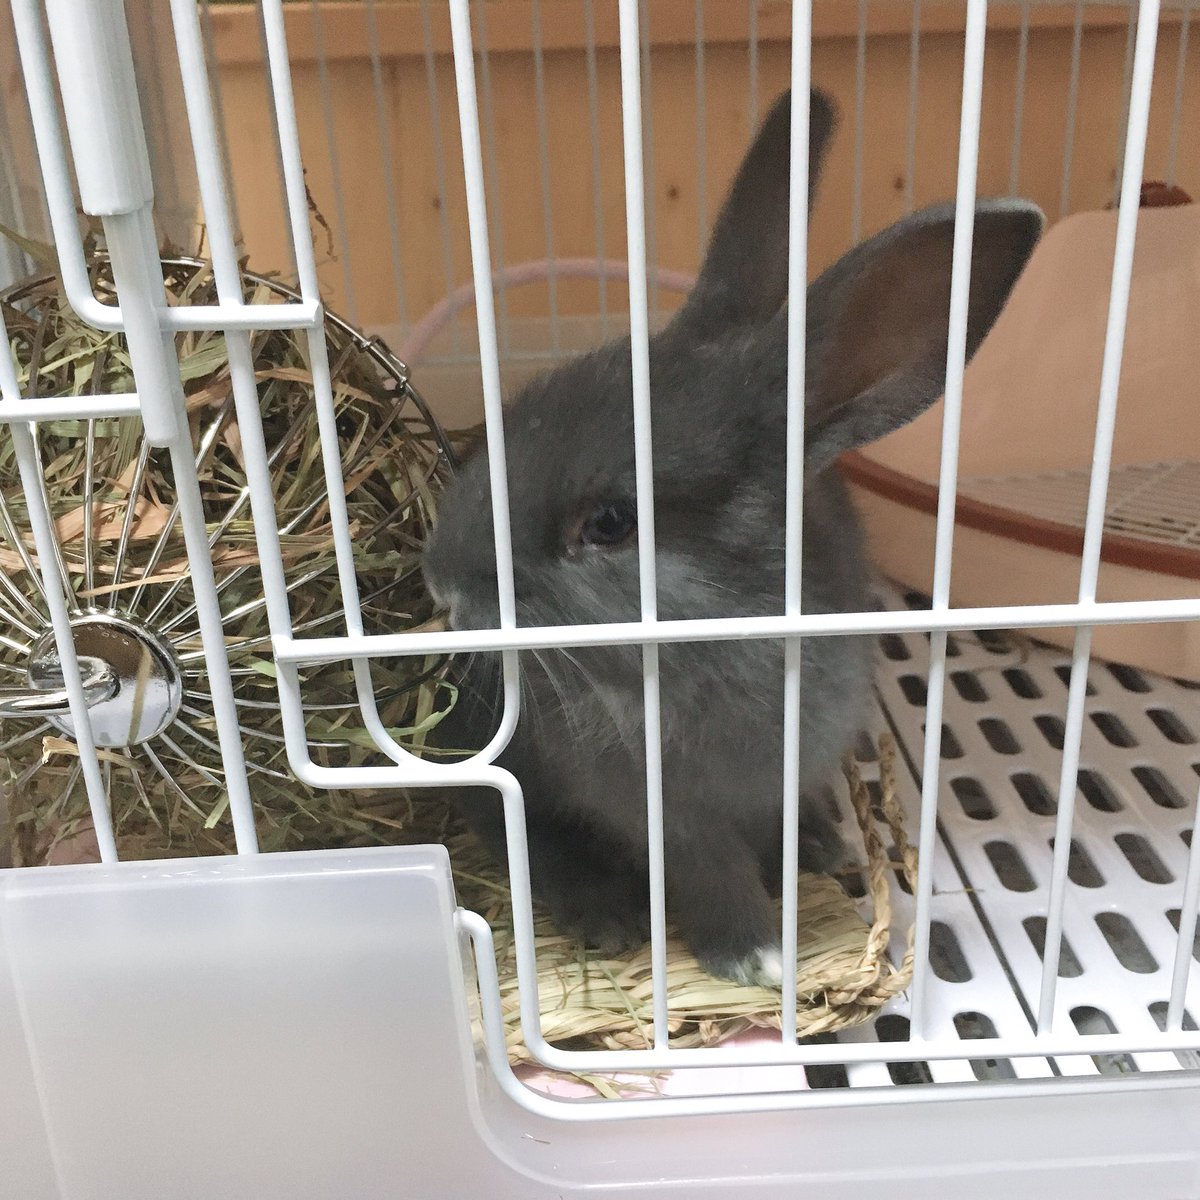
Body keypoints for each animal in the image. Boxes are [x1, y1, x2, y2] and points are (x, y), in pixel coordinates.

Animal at [422, 88, 1043, 986]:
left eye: (609, 523)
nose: (440, 580)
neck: (723, 638)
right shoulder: (669, 820)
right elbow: (707, 874)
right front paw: (757, 957)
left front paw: (810, 859)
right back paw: (606, 916)